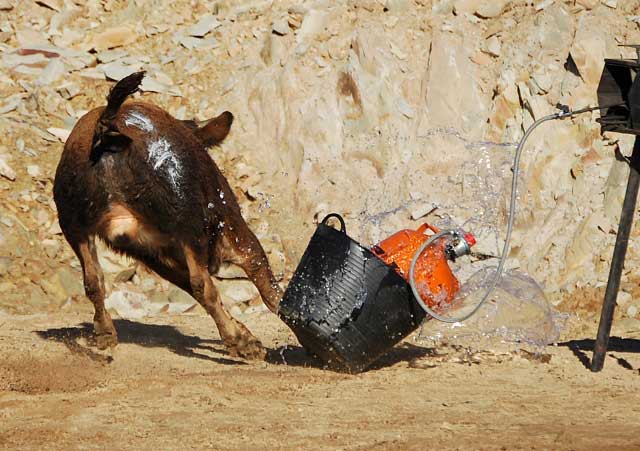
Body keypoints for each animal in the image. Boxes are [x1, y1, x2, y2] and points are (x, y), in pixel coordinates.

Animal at [53, 73, 284, 360]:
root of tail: (106, 131)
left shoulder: (155, 254)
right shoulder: (231, 227)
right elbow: (266, 284)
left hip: (76, 228)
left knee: (94, 280)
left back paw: (105, 333)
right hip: (189, 225)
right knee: (202, 284)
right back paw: (237, 341)